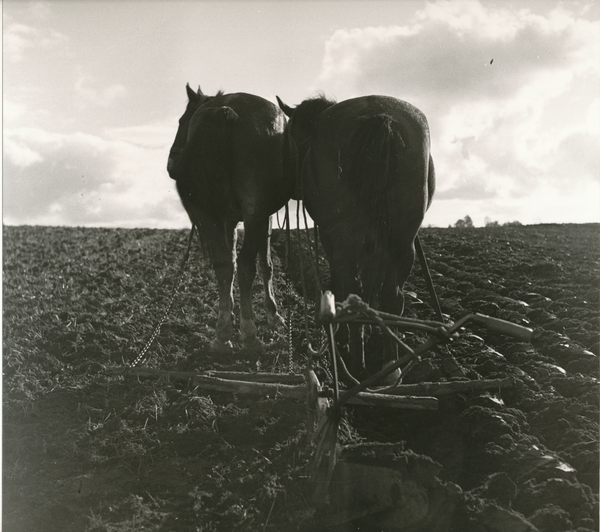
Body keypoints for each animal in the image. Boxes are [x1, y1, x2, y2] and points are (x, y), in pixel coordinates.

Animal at [169, 84, 296, 354]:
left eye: (183, 121)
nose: (170, 164)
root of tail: (226, 110)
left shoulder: (228, 219)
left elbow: (231, 264)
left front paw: (229, 311)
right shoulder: (264, 216)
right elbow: (264, 264)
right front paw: (274, 316)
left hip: (210, 215)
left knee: (223, 266)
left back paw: (222, 336)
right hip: (255, 214)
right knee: (247, 267)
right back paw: (249, 335)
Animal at [276, 94, 436, 378]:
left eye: (292, 134)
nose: (292, 187)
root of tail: (380, 118)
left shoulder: (330, 238)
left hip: (346, 238)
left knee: (354, 287)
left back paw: (355, 360)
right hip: (403, 239)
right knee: (392, 295)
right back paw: (389, 365)